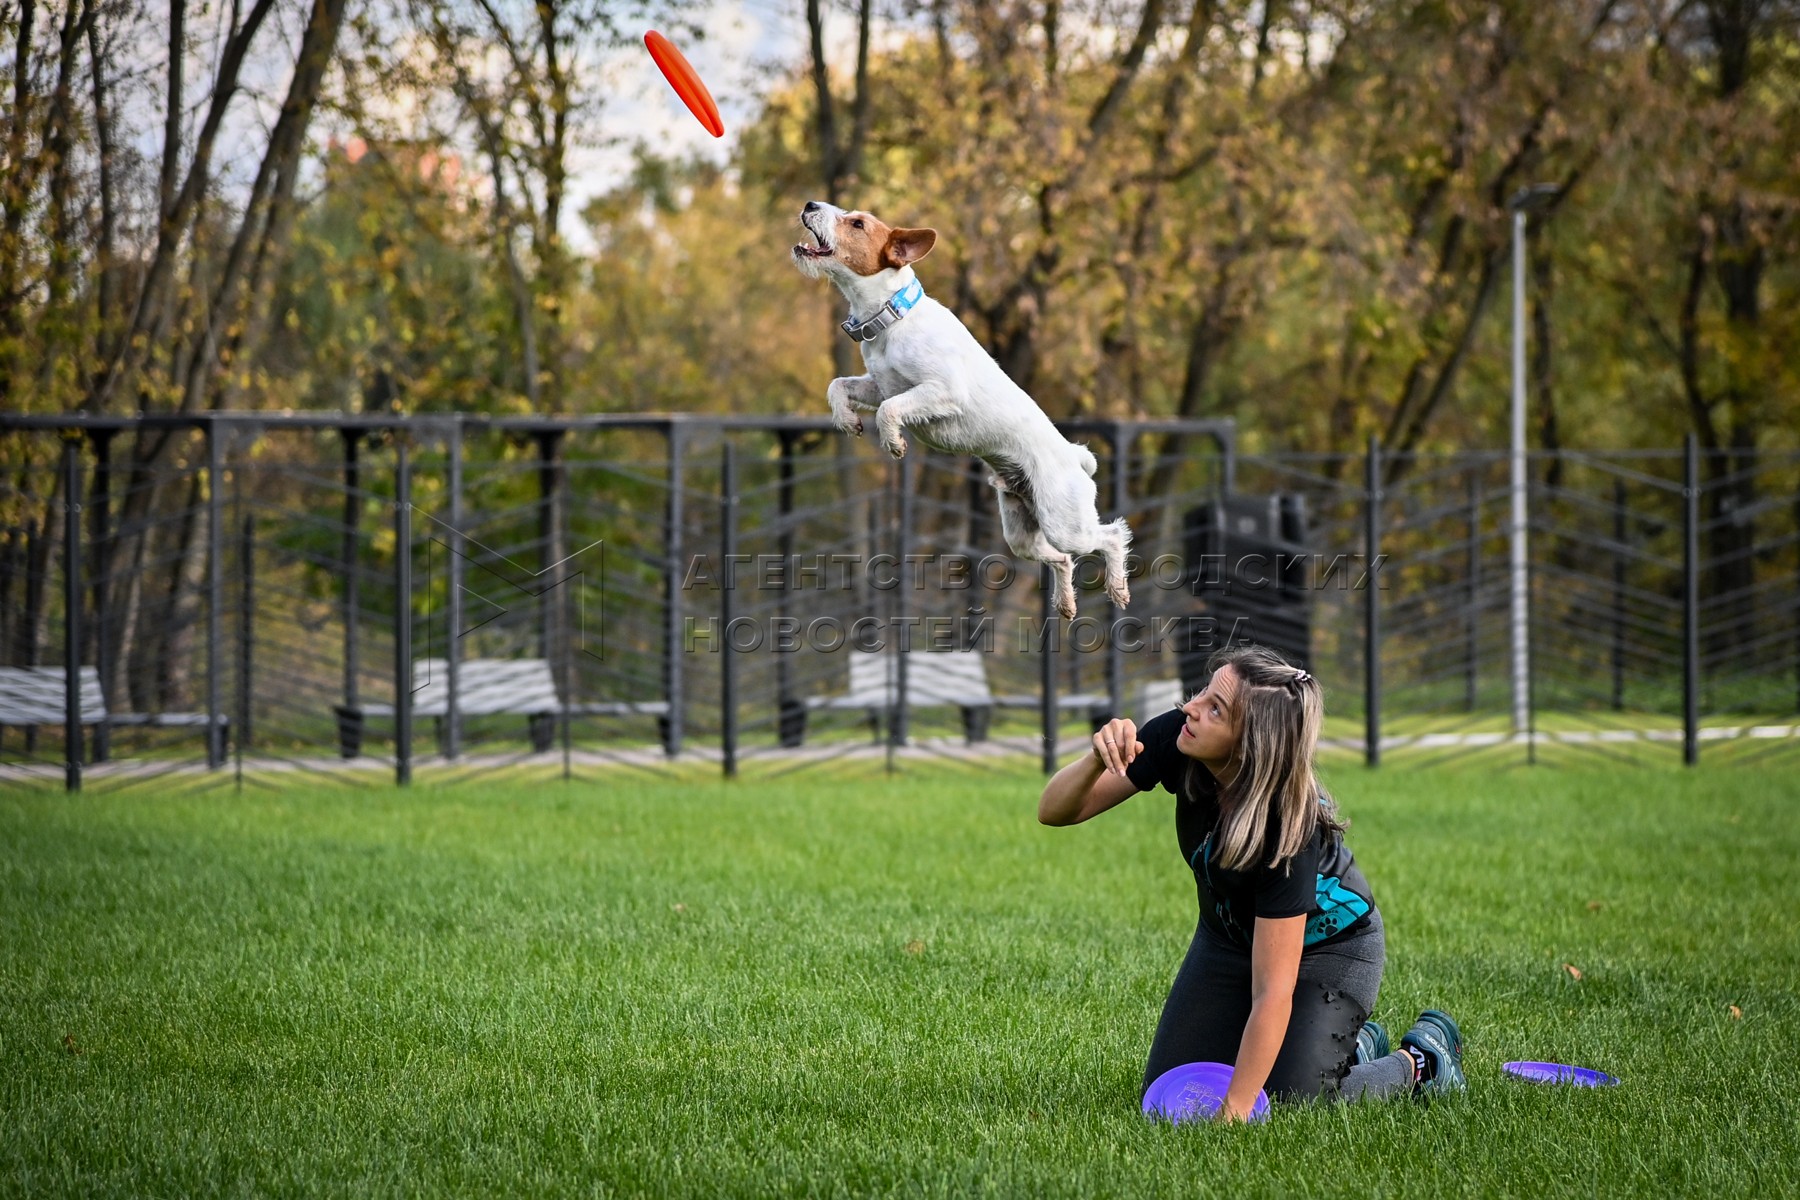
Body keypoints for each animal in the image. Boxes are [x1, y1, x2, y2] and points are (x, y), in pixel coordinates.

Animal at [795, 199, 1130, 618]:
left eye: (857, 223)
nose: (810, 204)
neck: (894, 317)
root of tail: (1075, 456)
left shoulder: (942, 390)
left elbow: (890, 410)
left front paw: (894, 443)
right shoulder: (878, 384)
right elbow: (839, 385)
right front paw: (846, 420)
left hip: (1065, 523)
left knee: (1111, 535)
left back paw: (1118, 588)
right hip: (1021, 531)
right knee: (1062, 559)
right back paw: (1065, 603)